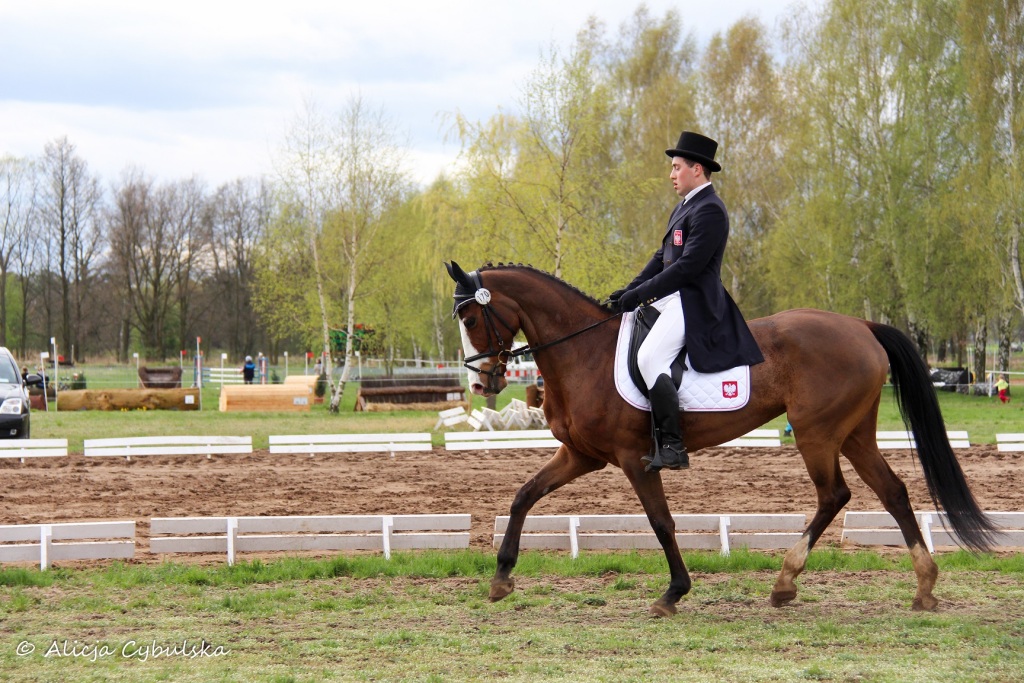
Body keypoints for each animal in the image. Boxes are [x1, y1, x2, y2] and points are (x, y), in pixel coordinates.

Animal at [446, 259, 991, 618]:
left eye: (471, 319)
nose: (481, 385)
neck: (585, 353)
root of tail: (861, 325)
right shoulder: (581, 455)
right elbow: (523, 496)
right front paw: (500, 578)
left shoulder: (633, 458)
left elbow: (661, 522)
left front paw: (673, 593)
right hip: (853, 434)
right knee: (892, 492)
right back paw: (923, 587)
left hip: (816, 434)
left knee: (834, 495)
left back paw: (785, 582)